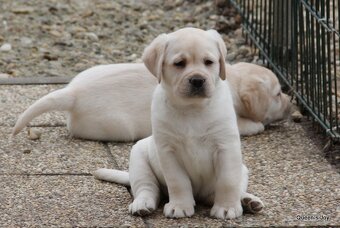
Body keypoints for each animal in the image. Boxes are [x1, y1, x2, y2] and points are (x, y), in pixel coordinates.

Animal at [11, 47, 290, 141]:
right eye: (277, 94)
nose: (292, 103)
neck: (231, 80)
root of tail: (73, 92)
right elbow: (253, 125)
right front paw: (256, 124)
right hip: (116, 128)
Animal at [94, 28, 264, 219]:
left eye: (209, 62)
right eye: (179, 63)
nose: (197, 80)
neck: (192, 109)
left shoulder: (226, 147)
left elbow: (227, 181)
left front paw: (227, 207)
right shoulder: (168, 151)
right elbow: (178, 181)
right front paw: (180, 206)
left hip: (242, 170)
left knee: (220, 192)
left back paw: (248, 201)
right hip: (138, 160)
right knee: (147, 188)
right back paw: (142, 204)